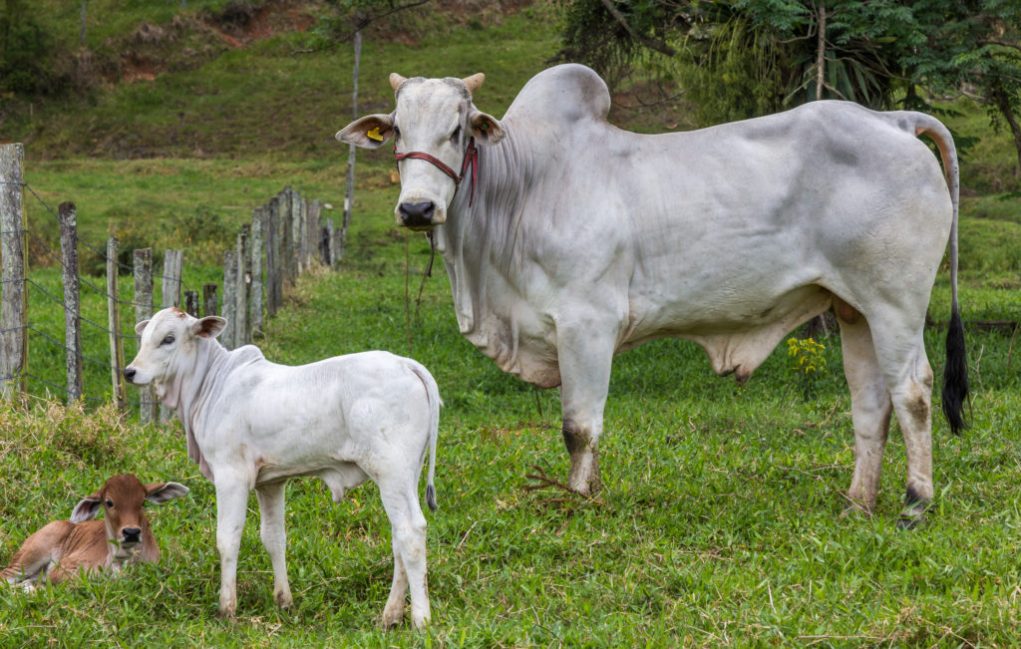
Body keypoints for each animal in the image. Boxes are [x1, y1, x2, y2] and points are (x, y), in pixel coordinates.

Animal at [123, 310, 439, 628]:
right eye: (144, 336)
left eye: (169, 338)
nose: (130, 372)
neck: (213, 384)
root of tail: (405, 363)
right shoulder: (270, 483)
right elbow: (274, 538)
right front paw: (283, 601)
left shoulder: (231, 476)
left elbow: (227, 539)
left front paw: (227, 608)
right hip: (407, 476)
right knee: (398, 537)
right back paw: (390, 615)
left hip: (391, 472)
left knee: (411, 532)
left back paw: (421, 620)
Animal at [338, 61, 967, 526]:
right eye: (397, 131)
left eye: (457, 129)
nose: (417, 209)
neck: (524, 187)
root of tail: (893, 120)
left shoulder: (587, 324)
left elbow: (579, 427)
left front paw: (578, 502)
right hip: (853, 309)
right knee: (871, 405)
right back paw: (857, 503)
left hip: (895, 302)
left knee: (913, 392)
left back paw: (915, 504)